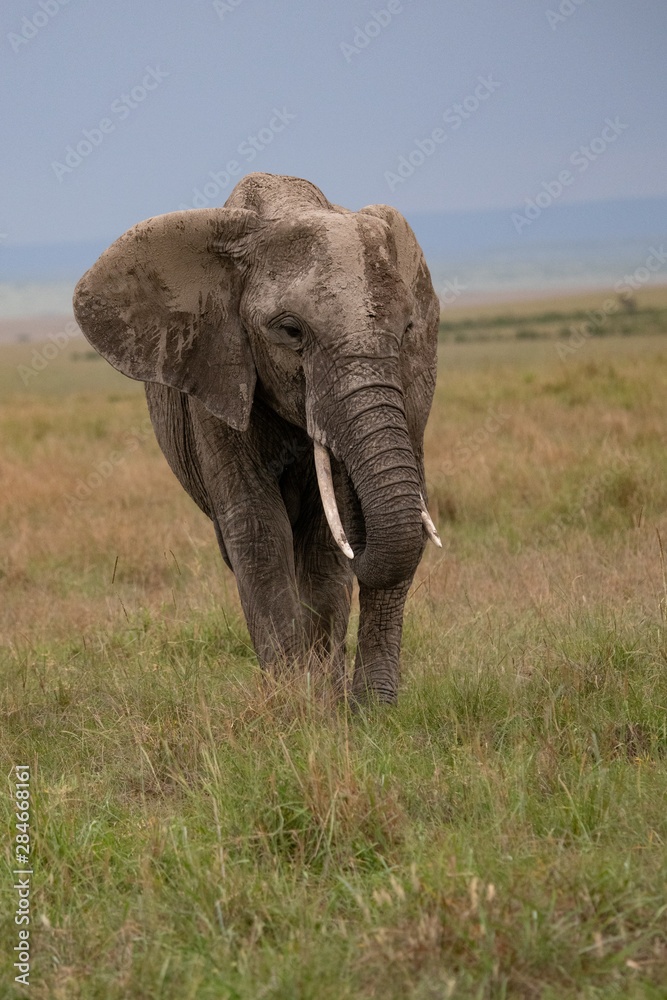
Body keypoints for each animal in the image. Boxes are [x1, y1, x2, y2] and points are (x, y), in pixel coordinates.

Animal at [73, 172, 441, 704]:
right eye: (290, 331)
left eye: (408, 327)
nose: (373, 709)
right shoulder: (216, 370)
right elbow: (257, 529)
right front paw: (296, 704)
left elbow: (326, 544)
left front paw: (327, 703)